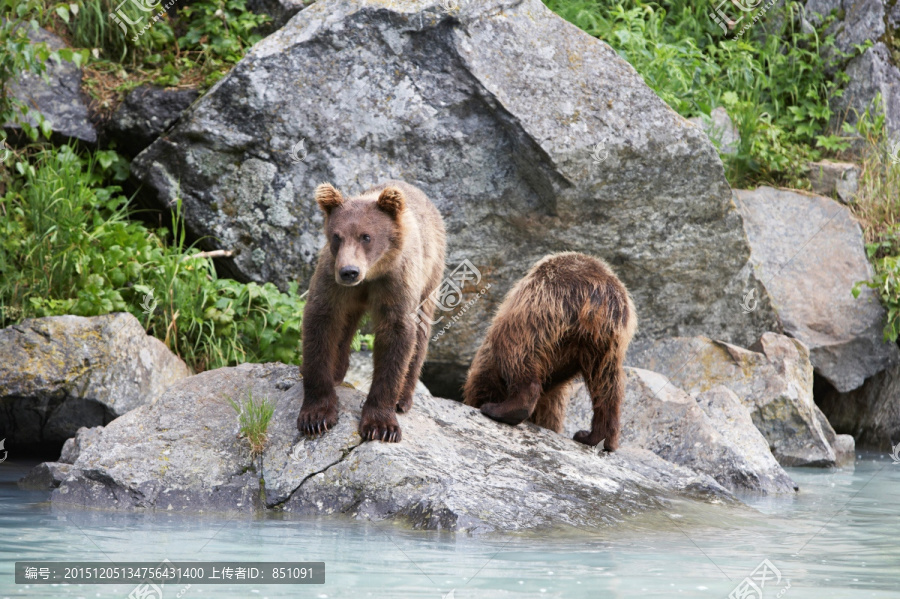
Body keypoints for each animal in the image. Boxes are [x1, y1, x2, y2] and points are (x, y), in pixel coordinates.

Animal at [298, 183, 446, 446]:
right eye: (337, 236)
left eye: (366, 236)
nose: (349, 271)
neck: (371, 275)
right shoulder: (331, 281)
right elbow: (321, 323)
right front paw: (316, 416)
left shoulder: (396, 283)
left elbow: (397, 337)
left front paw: (382, 426)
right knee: (345, 325)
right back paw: (336, 372)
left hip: (430, 276)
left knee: (421, 333)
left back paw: (403, 399)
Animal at [464, 251, 640, 452]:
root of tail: (596, 298)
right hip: (605, 342)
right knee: (606, 385)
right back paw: (595, 437)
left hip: (543, 305)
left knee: (514, 348)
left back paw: (501, 409)